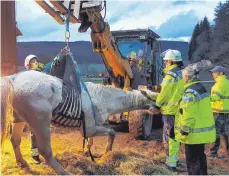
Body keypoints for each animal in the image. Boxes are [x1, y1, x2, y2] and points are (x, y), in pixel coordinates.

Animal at [0, 70, 157, 175]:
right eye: (154, 97)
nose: (159, 109)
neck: (104, 97)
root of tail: (13, 78)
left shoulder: (90, 128)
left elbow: (91, 140)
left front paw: (89, 151)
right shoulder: (90, 127)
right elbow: (111, 132)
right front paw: (107, 152)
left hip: (19, 120)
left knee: (15, 140)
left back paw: (22, 163)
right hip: (40, 122)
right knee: (45, 150)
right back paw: (64, 172)